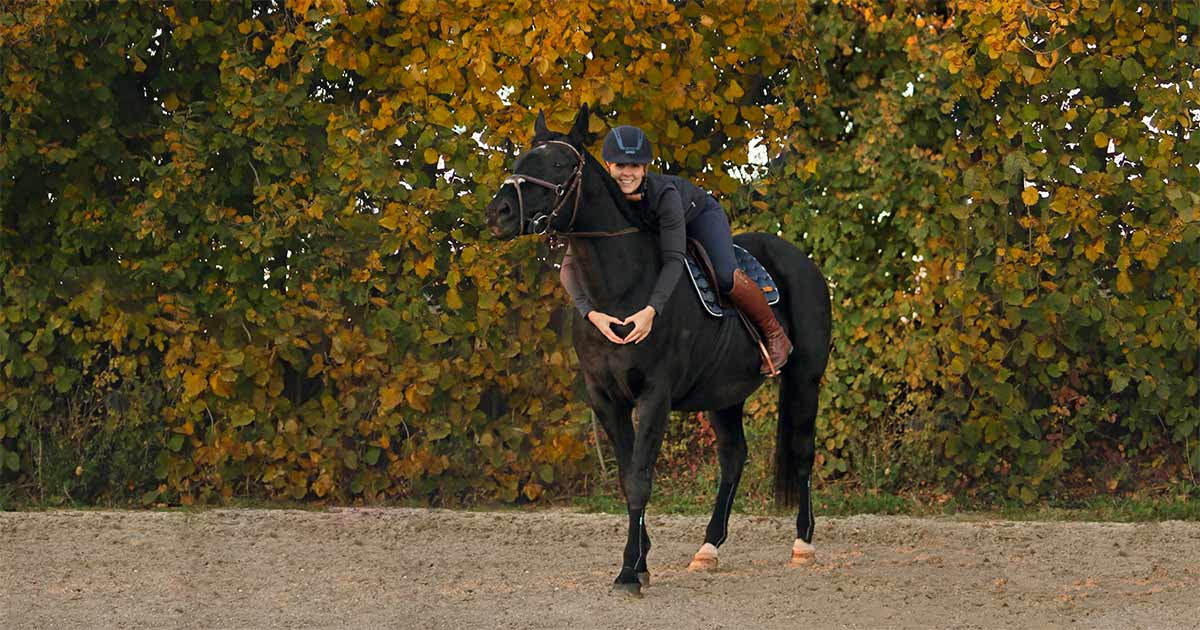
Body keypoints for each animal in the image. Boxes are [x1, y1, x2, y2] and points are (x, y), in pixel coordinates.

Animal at [484, 104, 832, 596]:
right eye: (520, 158)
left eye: (560, 163)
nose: (499, 211)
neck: (620, 286)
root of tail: (802, 262)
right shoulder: (605, 399)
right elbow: (628, 476)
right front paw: (642, 558)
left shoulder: (654, 396)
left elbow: (640, 477)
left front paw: (629, 571)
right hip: (724, 394)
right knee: (733, 458)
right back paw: (708, 549)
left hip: (805, 378)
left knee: (801, 450)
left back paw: (803, 544)